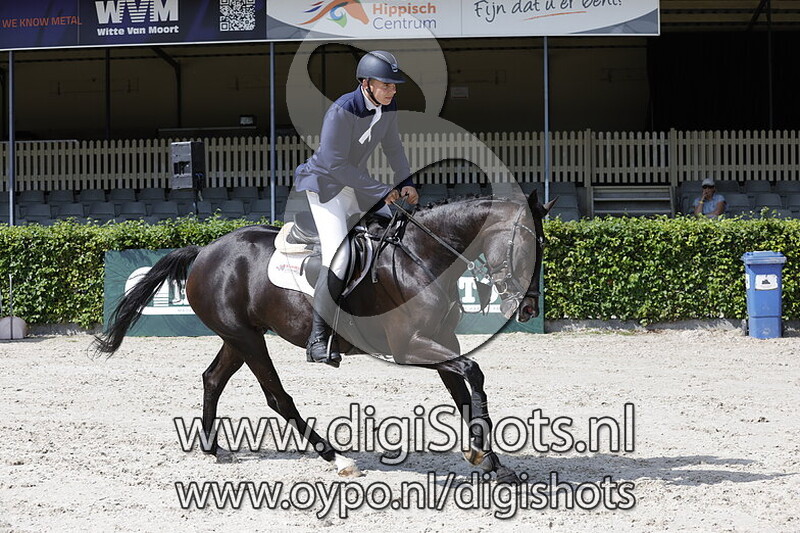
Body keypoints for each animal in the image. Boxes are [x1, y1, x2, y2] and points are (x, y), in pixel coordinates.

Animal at [94, 190, 554, 483]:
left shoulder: (444, 342)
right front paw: (481, 454)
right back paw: (337, 458)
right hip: (248, 339)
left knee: (213, 379)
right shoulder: (411, 347)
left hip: (239, 336)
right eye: (526, 244)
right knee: (277, 397)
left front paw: (492, 463)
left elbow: (464, 393)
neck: (422, 257)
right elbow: (474, 373)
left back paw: (211, 447)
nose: (529, 309)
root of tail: (205, 250)